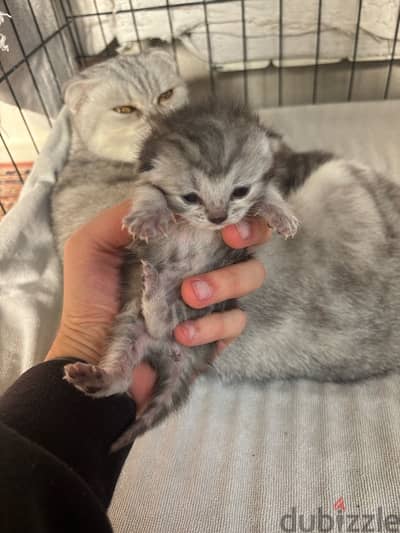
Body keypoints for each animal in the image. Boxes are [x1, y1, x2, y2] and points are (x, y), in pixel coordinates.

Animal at [64, 102, 304, 450]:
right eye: (190, 197)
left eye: (240, 191)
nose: (218, 217)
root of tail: (175, 353)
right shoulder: (142, 176)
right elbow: (148, 189)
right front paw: (149, 215)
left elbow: (269, 190)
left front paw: (281, 212)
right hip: (130, 324)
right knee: (125, 369)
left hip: (207, 309)